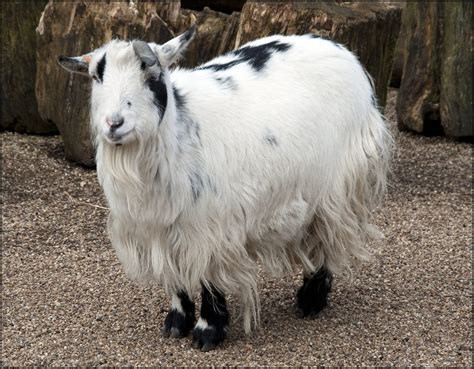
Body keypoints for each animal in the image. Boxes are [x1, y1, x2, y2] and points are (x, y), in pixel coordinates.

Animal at [58, 26, 392, 350]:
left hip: (340, 183)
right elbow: (173, 274)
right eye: (96, 76)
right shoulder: (160, 227)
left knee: (329, 235)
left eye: (152, 77)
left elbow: (209, 277)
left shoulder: (213, 224)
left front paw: (208, 331)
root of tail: (340, 49)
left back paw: (311, 301)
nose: (114, 123)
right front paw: (177, 322)